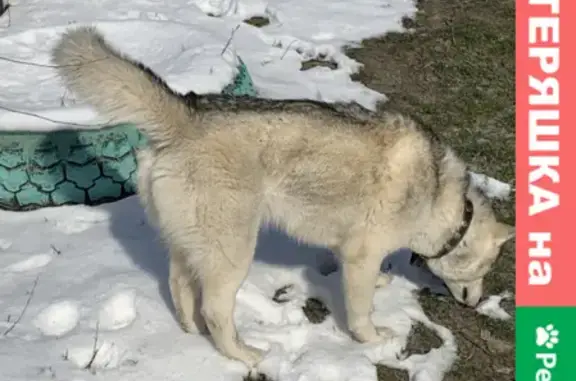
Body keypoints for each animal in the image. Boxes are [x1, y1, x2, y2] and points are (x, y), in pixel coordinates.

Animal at [51, 26, 516, 366]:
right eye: (486, 267)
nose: (476, 304)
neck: (443, 200)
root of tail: (188, 113)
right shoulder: (361, 255)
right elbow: (361, 311)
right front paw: (372, 339)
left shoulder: (353, 251)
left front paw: (383, 281)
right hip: (233, 252)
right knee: (216, 310)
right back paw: (244, 355)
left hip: (193, 245)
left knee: (180, 287)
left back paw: (191, 333)